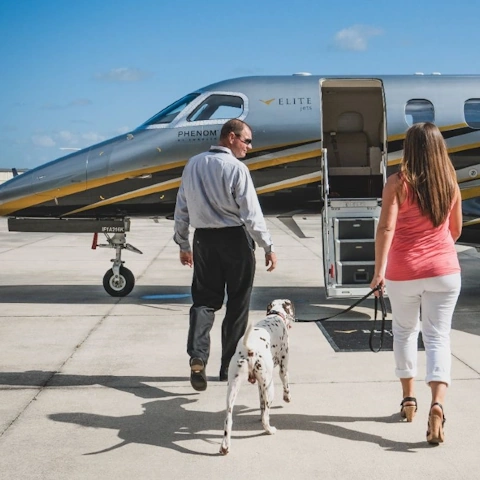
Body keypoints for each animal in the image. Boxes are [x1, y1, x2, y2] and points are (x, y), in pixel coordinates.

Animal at [219, 298, 294, 456]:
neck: (276, 315)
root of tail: (250, 349)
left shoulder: (261, 385)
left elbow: (261, 405)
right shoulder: (283, 368)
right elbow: (286, 384)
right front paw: (287, 397)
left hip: (232, 389)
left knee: (228, 420)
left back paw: (225, 446)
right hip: (270, 388)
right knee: (266, 418)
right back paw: (270, 430)